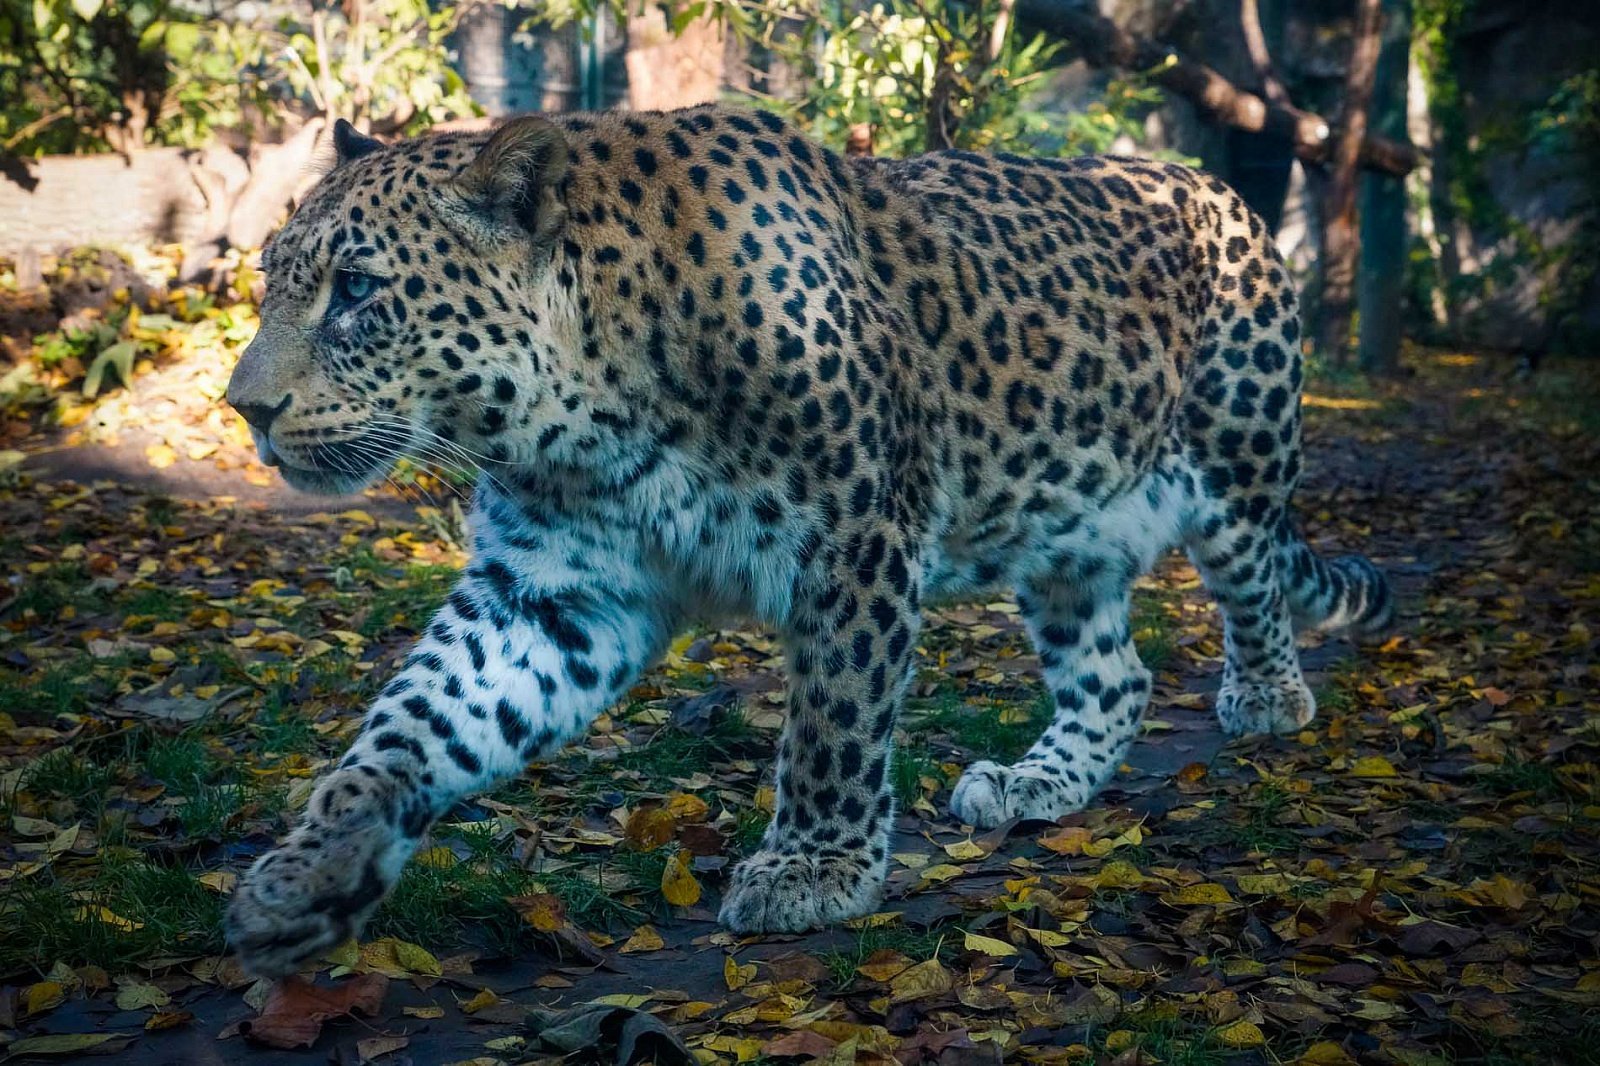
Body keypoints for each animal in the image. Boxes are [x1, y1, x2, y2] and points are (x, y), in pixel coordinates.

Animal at [222, 104, 1388, 973]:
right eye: (276, 277)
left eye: (357, 291)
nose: (246, 410)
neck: (582, 413)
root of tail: (1220, 189)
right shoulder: (554, 592)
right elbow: (414, 721)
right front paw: (309, 870)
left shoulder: (857, 537)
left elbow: (834, 716)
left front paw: (814, 869)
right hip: (1066, 528)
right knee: (1117, 677)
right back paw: (1035, 782)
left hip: (1234, 463)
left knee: (1252, 586)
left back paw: (1267, 700)